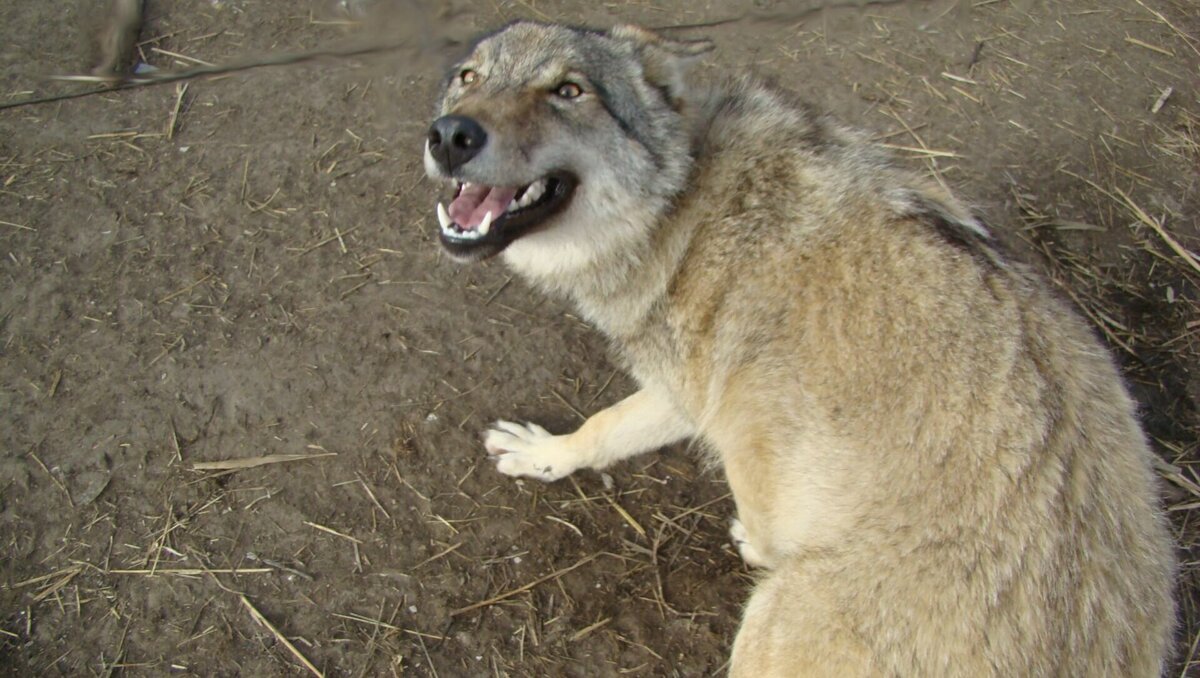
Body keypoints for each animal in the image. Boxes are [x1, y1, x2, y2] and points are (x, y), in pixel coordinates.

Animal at [420, 21, 1171, 676]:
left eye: (568, 90)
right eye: (468, 77)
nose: (450, 134)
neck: (683, 199)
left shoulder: (715, 412)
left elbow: (620, 433)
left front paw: (752, 539)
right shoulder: (692, 401)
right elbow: (601, 432)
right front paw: (545, 455)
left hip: (771, 622)